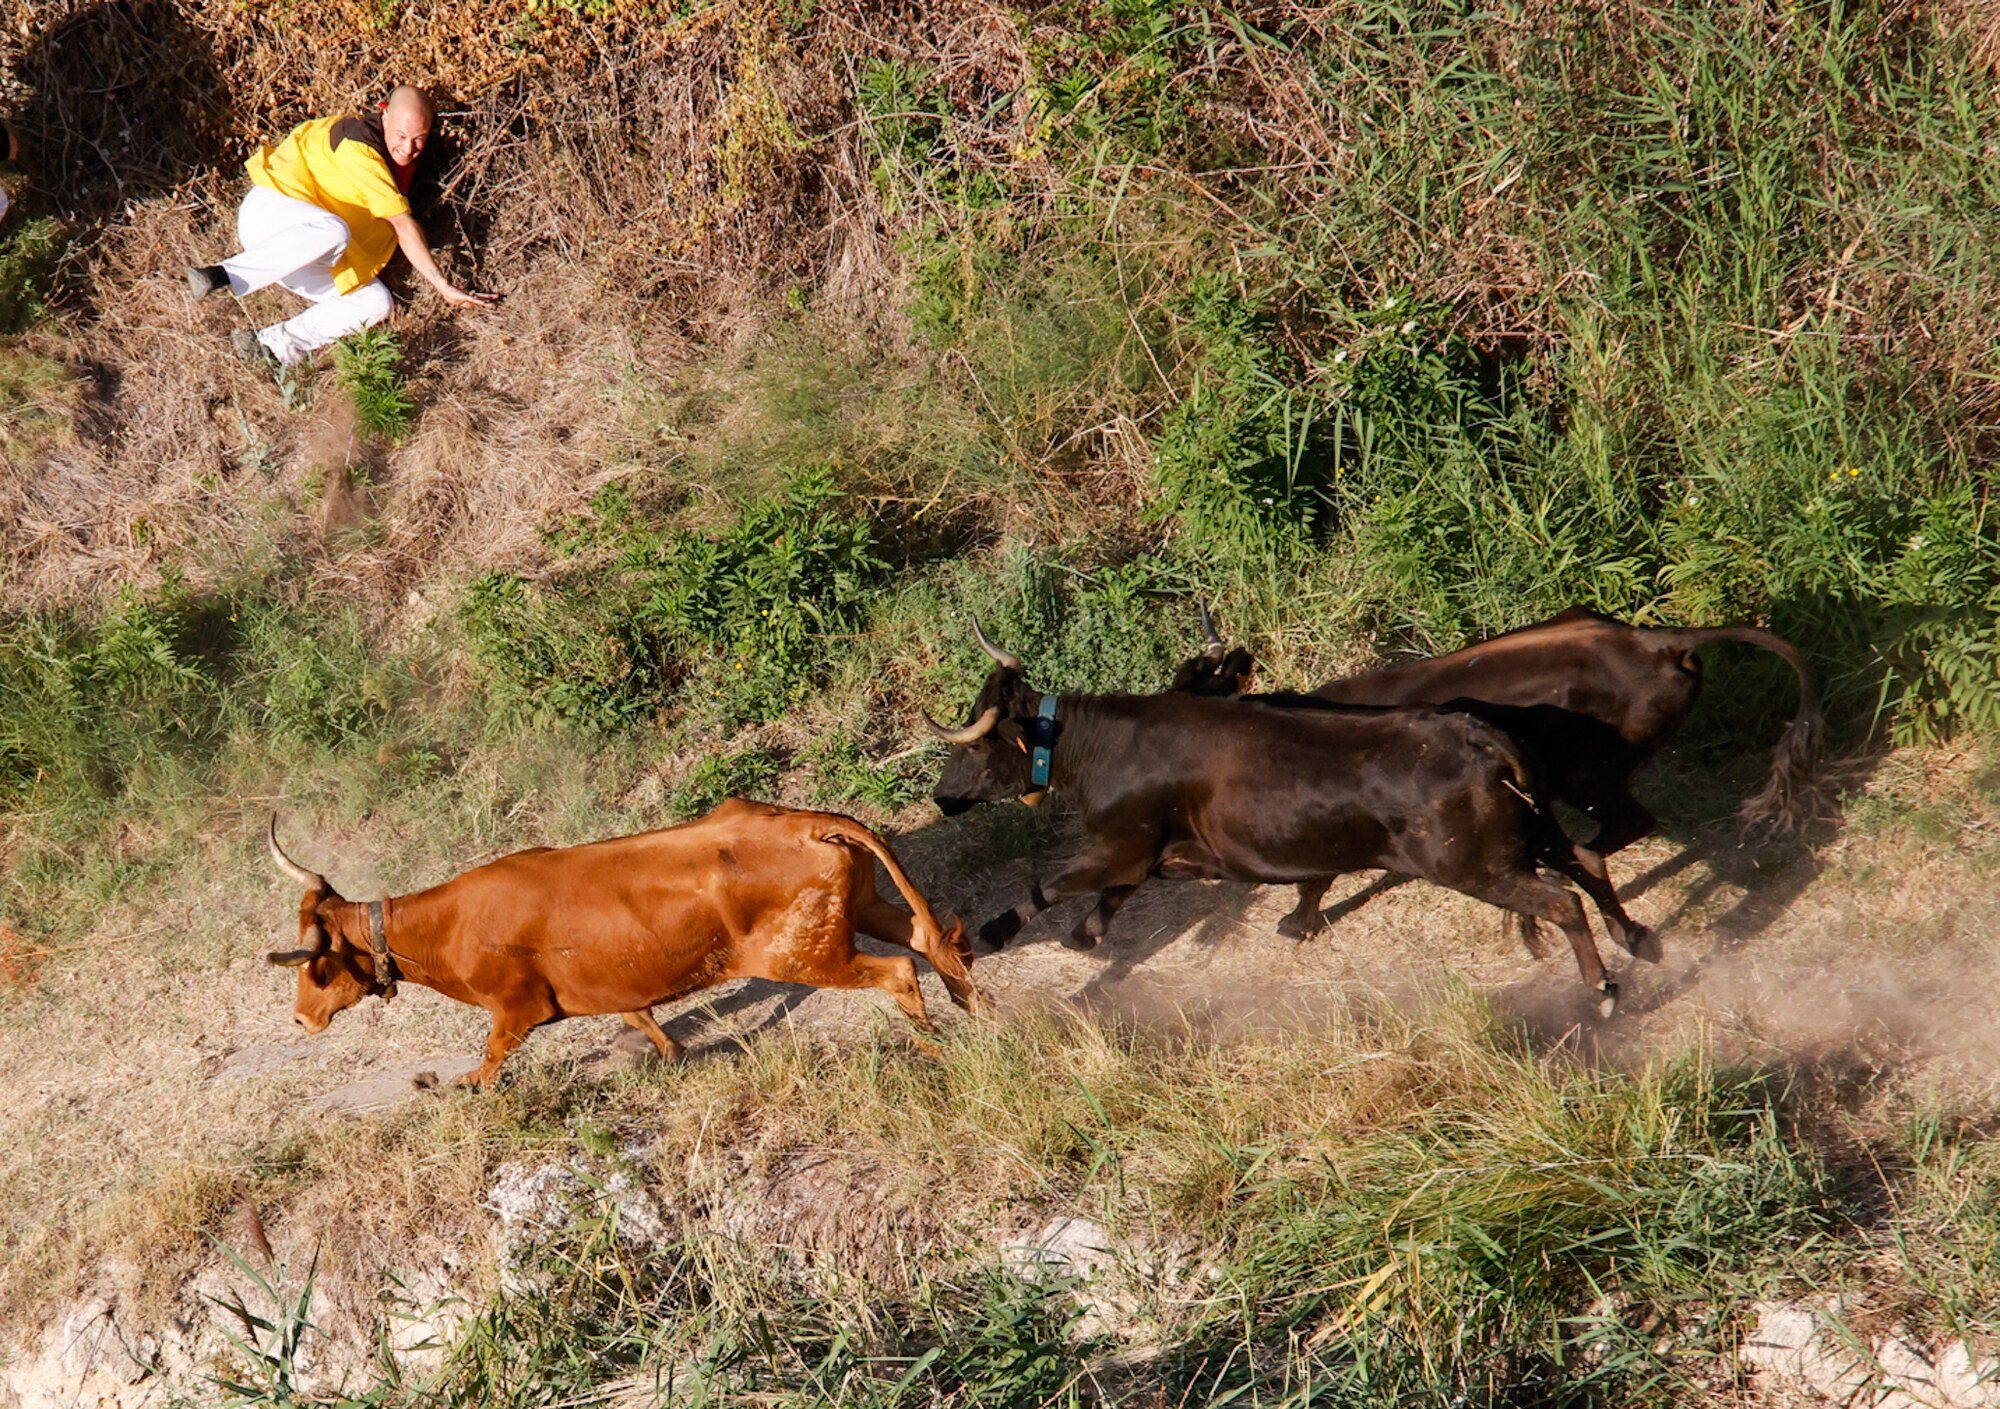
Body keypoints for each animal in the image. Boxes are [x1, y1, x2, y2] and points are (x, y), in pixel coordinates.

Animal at [264, 802, 977, 1088]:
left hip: (809, 956)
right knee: (934, 938)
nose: (298, 1020)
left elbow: (488, 1064)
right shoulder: (611, 988)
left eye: (315, 967)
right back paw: (974, 1007)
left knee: (899, 972)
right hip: (864, 910)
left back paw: (935, 1044)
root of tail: (807, 823)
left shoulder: (514, 1008)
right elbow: (643, 1019)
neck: (448, 925)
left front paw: (455, 1086)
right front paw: (672, 1055)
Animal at [925, 622, 1651, 1017]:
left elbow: (1052, 886)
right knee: (1589, 862)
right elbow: (1107, 903)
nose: (940, 797)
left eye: (979, 743)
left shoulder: (1119, 845)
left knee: (1562, 902)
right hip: (1533, 836)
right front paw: (1084, 937)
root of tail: (1481, 737)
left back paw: (1602, 988)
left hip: (1478, 867)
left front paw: (992, 932)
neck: (1108, 746)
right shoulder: (1147, 856)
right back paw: (1637, 937)